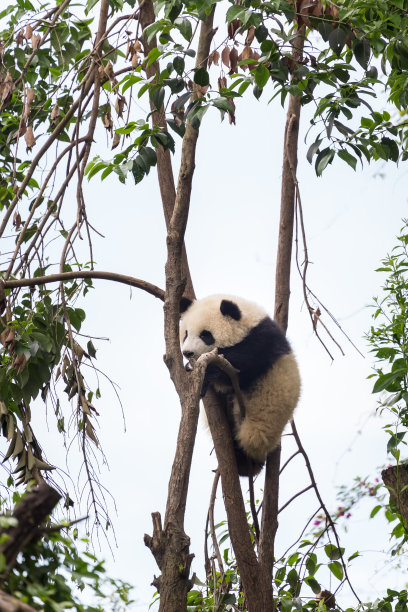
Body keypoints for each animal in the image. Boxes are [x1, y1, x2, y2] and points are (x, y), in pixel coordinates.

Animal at [180, 294, 302, 476]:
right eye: (186, 333)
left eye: (205, 335)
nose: (187, 353)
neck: (248, 324)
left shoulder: (263, 340)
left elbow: (244, 362)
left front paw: (208, 371)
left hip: (265, 416)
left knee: (254, 436)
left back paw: (244, 458)